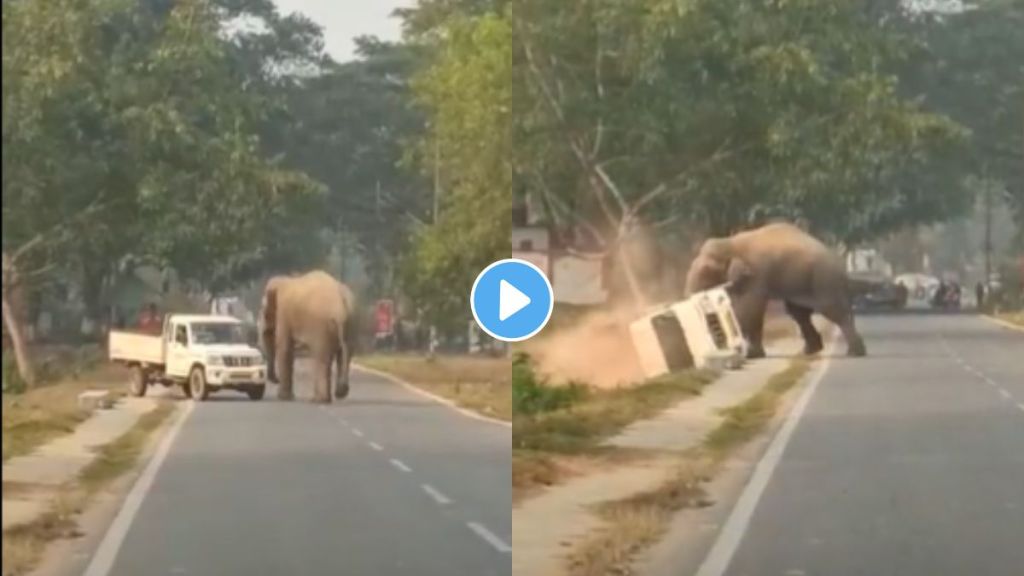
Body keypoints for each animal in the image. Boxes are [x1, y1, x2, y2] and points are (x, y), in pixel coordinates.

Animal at [258, 268, 358, 399]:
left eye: (264, 312)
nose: (276, 380)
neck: (285, 280)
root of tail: (341, 305)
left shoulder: (284, 314)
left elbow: (284, 349)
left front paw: (284, 397)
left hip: (322, 326)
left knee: (321, 357)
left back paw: (318, 400)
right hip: (350, 324)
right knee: (343, 354)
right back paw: (337, 394)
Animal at [684, 222, 868, 356]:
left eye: (707, 270)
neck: (732, 241)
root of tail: (842, 268)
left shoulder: (757, 274)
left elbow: (751, 308)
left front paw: (751, 355)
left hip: (824, 280)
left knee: (833, 311)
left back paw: (855, 353)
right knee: (799, 313)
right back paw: (808, 352)